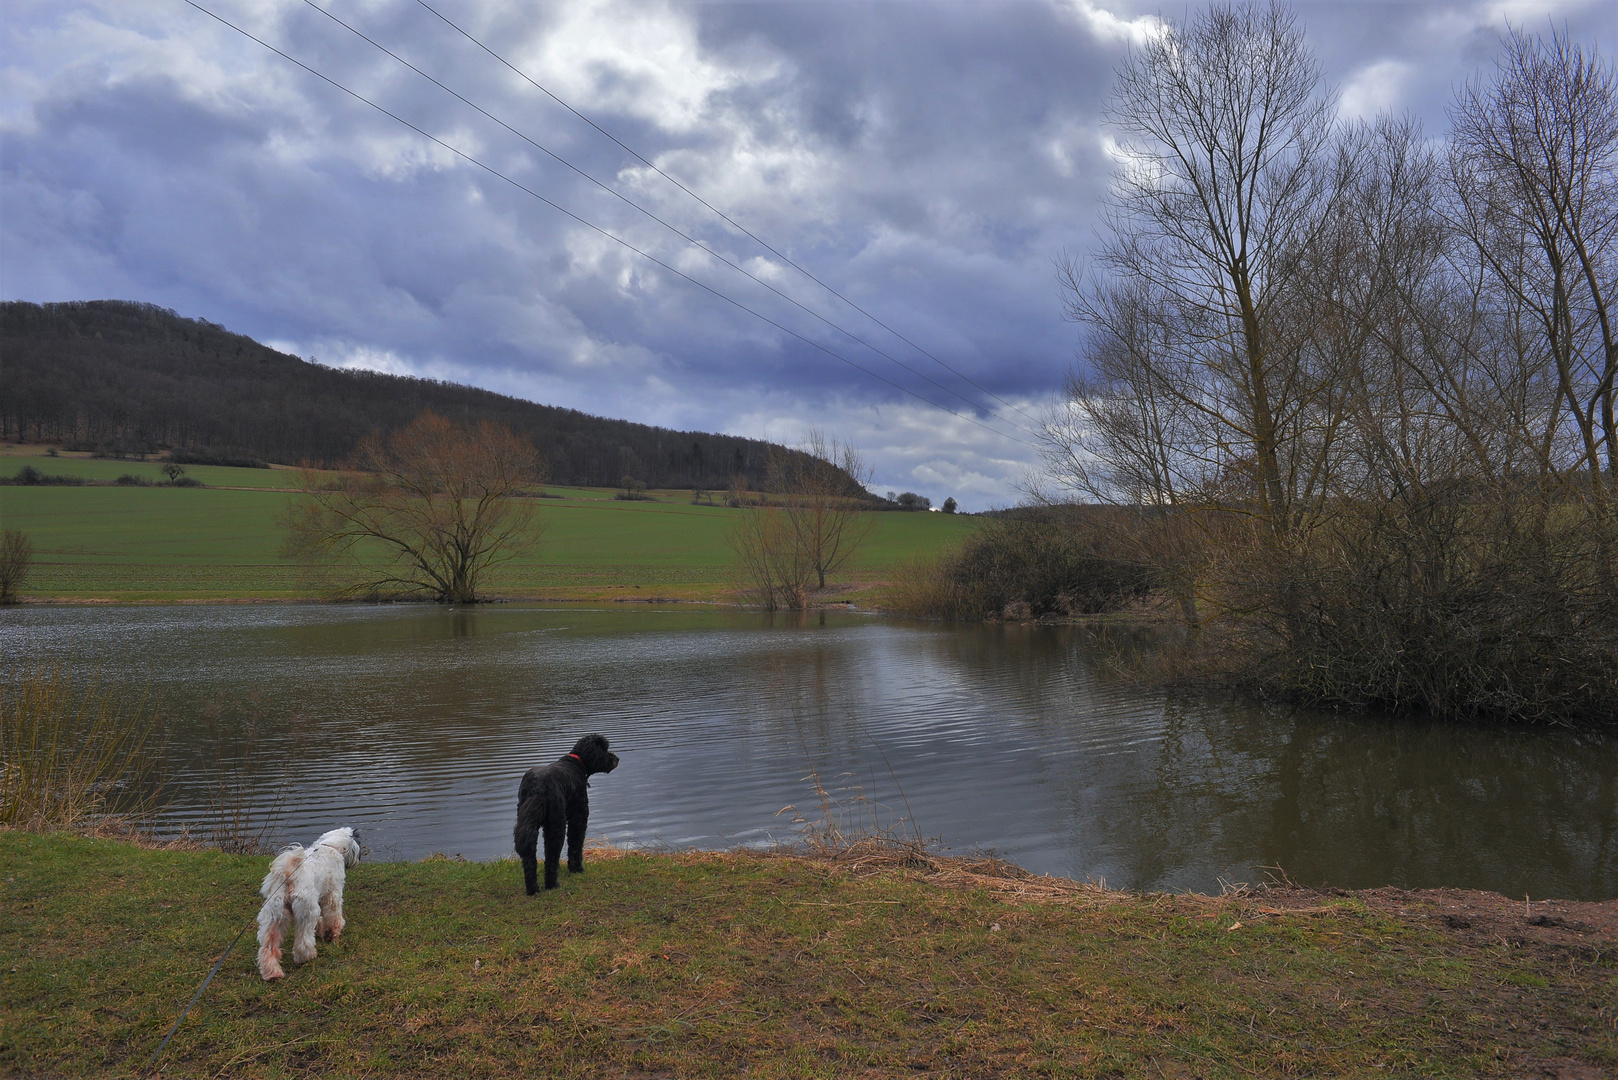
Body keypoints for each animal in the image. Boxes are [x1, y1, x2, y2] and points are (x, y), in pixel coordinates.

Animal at [255, 829, 360, 977]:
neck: (330, 845)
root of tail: (289, 875)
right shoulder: (333, 895)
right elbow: (334, 918)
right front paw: (331, 935)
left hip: (274, 916)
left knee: (268, 947)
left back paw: (272, 973)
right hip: (306, 912)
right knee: (303, 941)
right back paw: (306, 957)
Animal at [517, 735, 618, 893]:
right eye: (604, 749)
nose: (616, 758)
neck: (576, 763)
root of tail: (536, 787)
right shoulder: (579, 817)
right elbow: (575, 844)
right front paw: (576, 869)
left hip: (527, 822)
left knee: (529, 856)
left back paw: (533, 889)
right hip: (555, 825)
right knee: (552, 856)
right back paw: (552, 884)